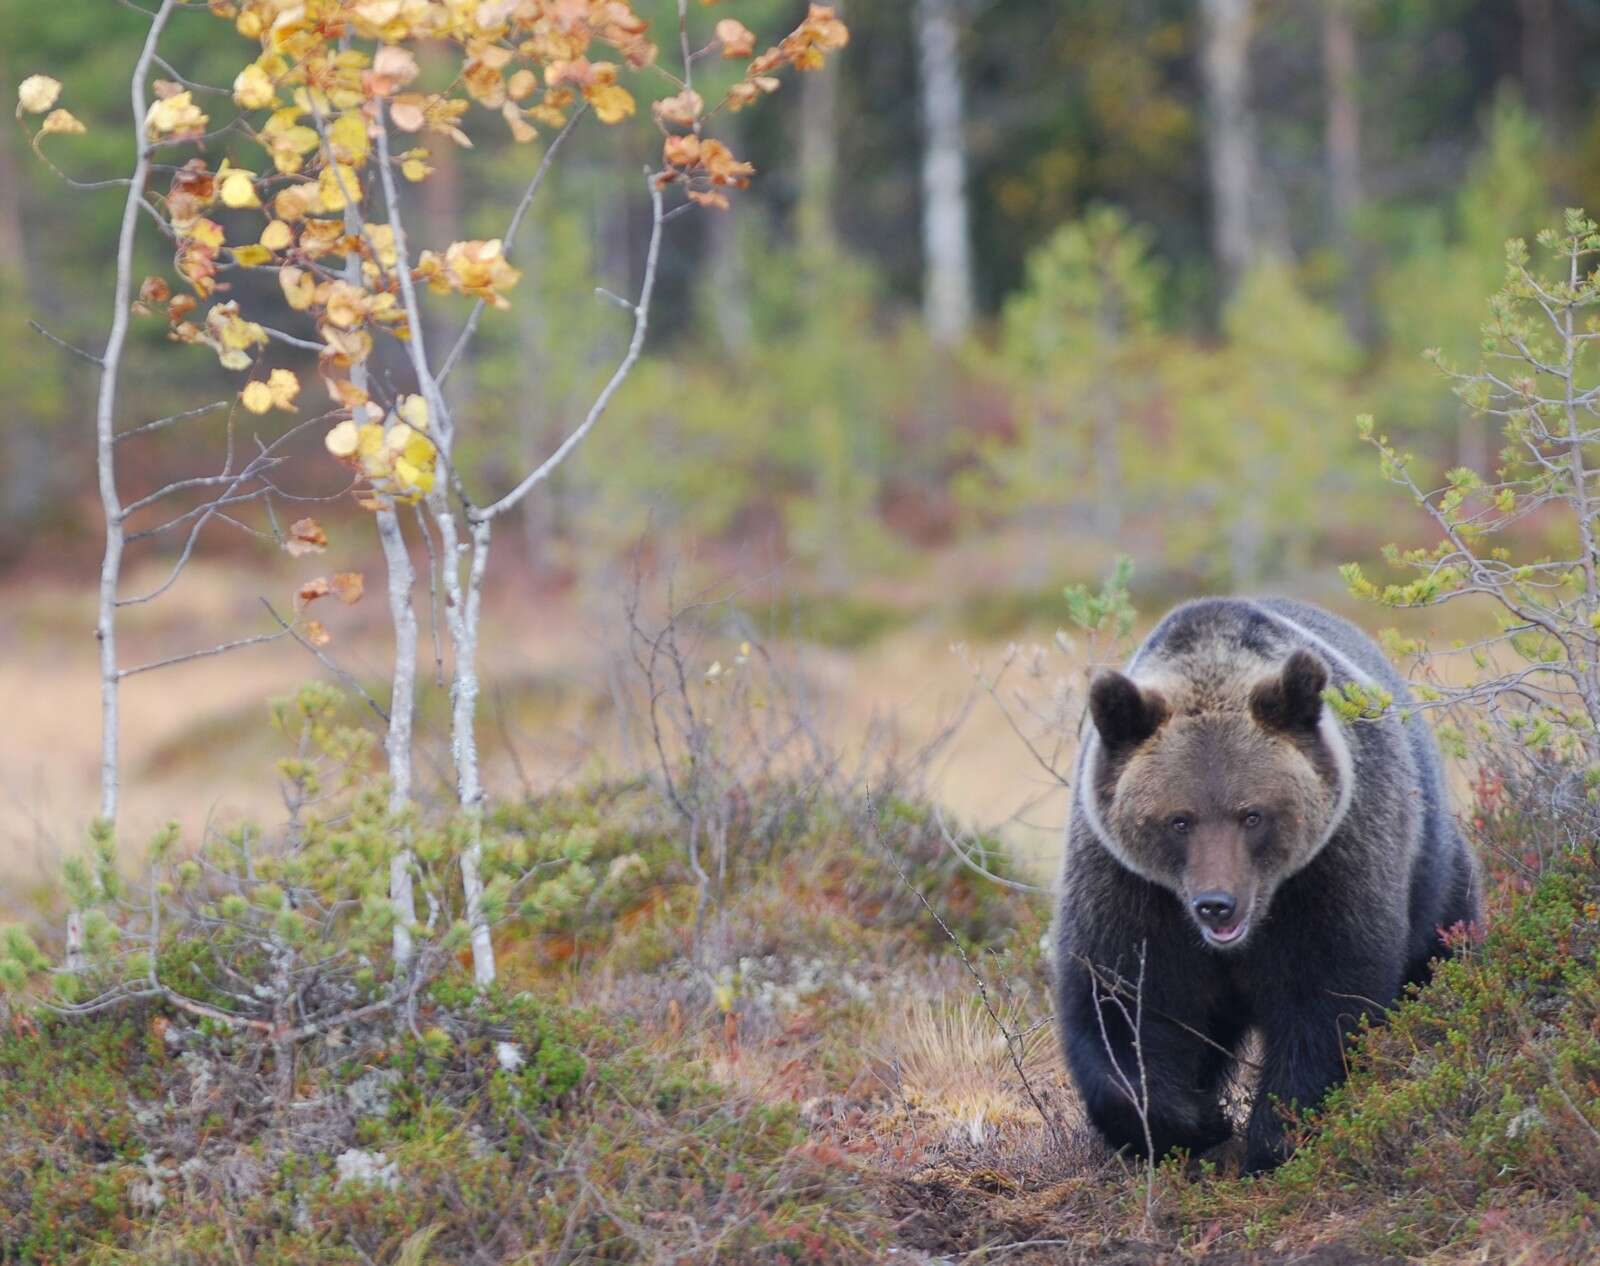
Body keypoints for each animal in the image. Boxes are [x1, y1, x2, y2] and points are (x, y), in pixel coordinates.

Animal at [1054, 596, 1480, 1173]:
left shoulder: (1331, 867)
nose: (1217, 905)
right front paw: (1193, 1120)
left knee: (1437, 947)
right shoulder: (1129, 890)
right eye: (1178, 819)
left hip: (1433, 874)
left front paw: (1273, 1136)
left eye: (1252, 815)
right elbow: (1120, 1006)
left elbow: (1326, 1001)